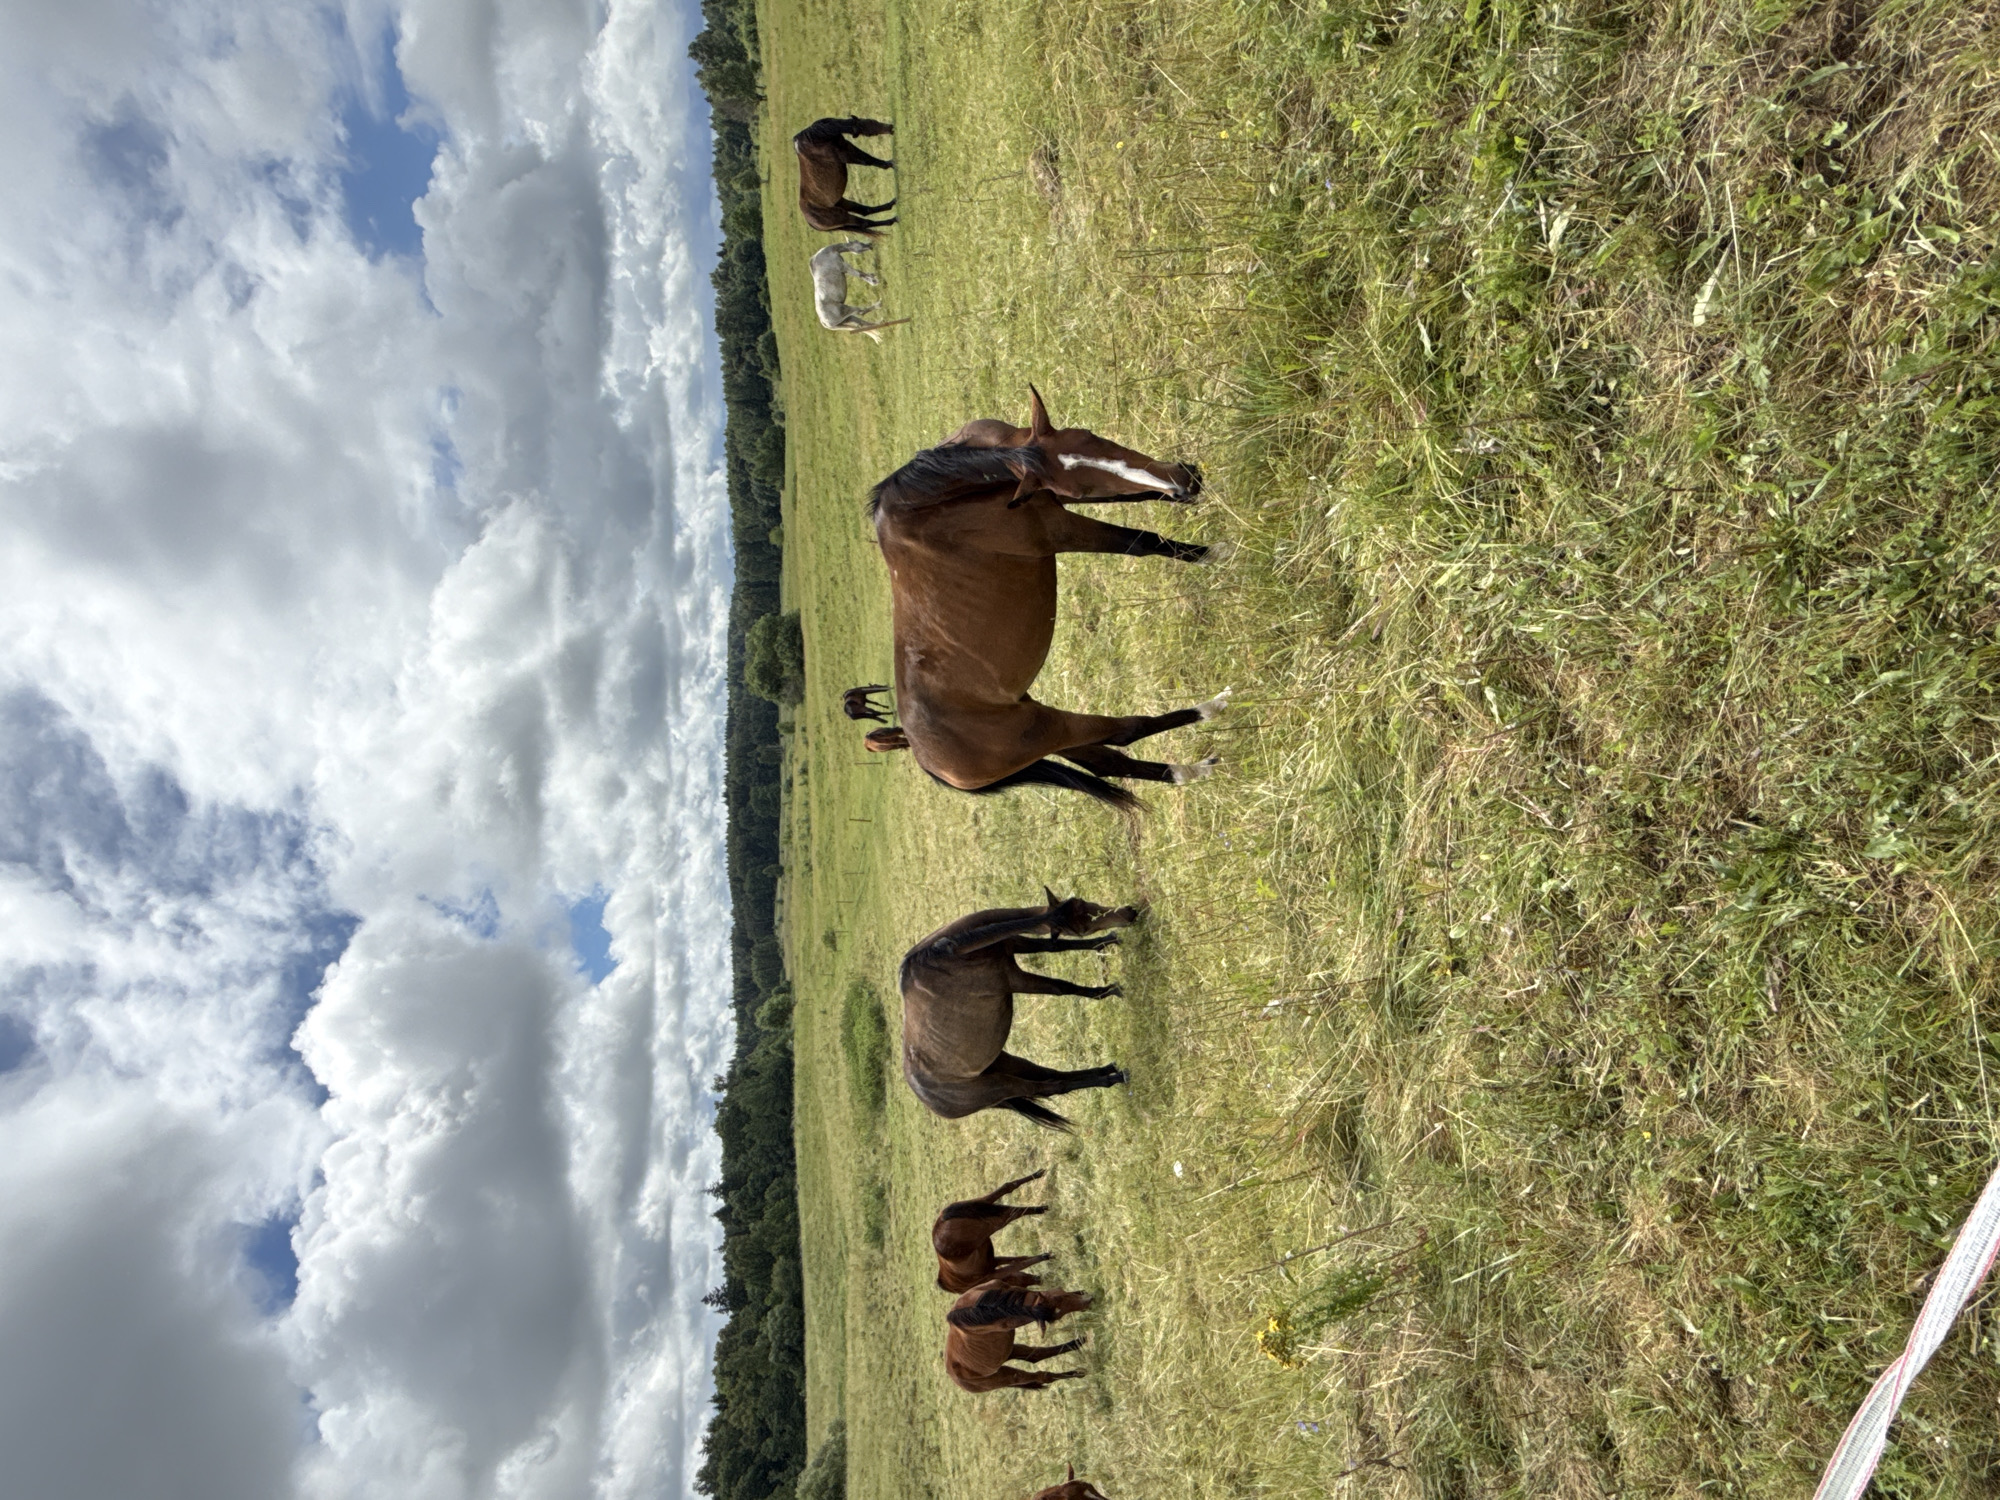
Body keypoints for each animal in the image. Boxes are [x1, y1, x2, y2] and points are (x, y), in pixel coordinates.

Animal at [866, 386, 1230, 809]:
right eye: (1082, 487)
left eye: (1091, 435)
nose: (1184, 480)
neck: (941, 498)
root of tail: (918, 750)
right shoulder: (1059, 527)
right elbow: (1142, 542)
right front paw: (1219, 554)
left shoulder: (1049, 496)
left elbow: (1139, 496)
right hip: (1050, 728)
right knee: (1124, 733)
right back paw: (1211, 707)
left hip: (1046, 730)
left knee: (1109, 762)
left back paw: (1191, 771)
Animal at [902, 890, 1136, 1130]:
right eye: (1082, 929)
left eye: (1080, 901)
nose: (1129, 913)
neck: (947, 955)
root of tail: (930, 1100)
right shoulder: (1013, 979)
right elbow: (1062, 987)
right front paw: (1110, 990)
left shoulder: (1013, 942)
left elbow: (1054, 946)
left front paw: (1108, 941)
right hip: (1001, 1085)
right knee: (1052, 1086)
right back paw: (1113, 1078)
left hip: (1008, 1064)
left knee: (1050, 1074)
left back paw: (1108, 1069)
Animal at [944, 1281, 1092, 1392]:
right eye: (1057, 1314)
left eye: (1061, 1292)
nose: (1088, 1301)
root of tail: (953, 1376)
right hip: (1006, 1376)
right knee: (1042, 1376)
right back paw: (1077, 1372)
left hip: (1009, 1351)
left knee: (1035, 1355)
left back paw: (1078, 1342)